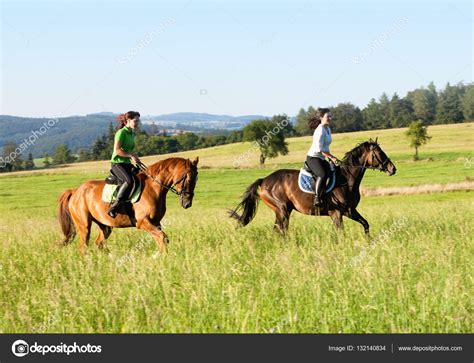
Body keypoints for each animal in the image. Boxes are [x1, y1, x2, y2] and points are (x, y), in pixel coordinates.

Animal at [57, 158, 198, 255]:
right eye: (189, 179)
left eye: (196, 179)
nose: (187, 203)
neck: (154, 187)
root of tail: (75, 191)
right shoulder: (142, 222)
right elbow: (162, 237)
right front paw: (161, 256)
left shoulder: (156, 222)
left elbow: (162, 238)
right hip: (84, 225)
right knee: (83, 247)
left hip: (105, 226)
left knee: (99, 243)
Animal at [230, 139, 396, 236]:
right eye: (379, 153)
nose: (392, 169)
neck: (347, 179)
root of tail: (264, 180)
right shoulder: (336, 213)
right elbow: (341, 233)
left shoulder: (350, 211)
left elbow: (365, 224)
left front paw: (368, 240)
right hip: (282, 209)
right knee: (281, 230)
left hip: (282, 211)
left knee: (278, 230)